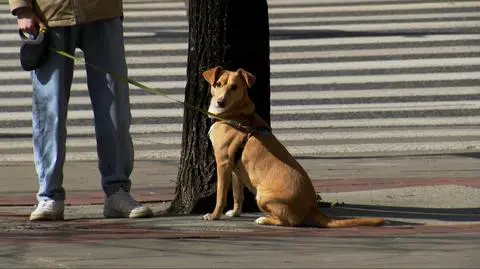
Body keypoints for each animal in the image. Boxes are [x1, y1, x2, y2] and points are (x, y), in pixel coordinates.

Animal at [201, 66, 384, 227]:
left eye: (234, 87)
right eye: (218, 84)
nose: (220, 102)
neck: (235, 116)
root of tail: (311, 207)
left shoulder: (223, 162)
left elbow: (221, 195)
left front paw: (214, 215)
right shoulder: (234, 166)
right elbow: (237, 193)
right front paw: (235, 212)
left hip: (263, 196)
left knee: (289, 222)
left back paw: (264, 219)